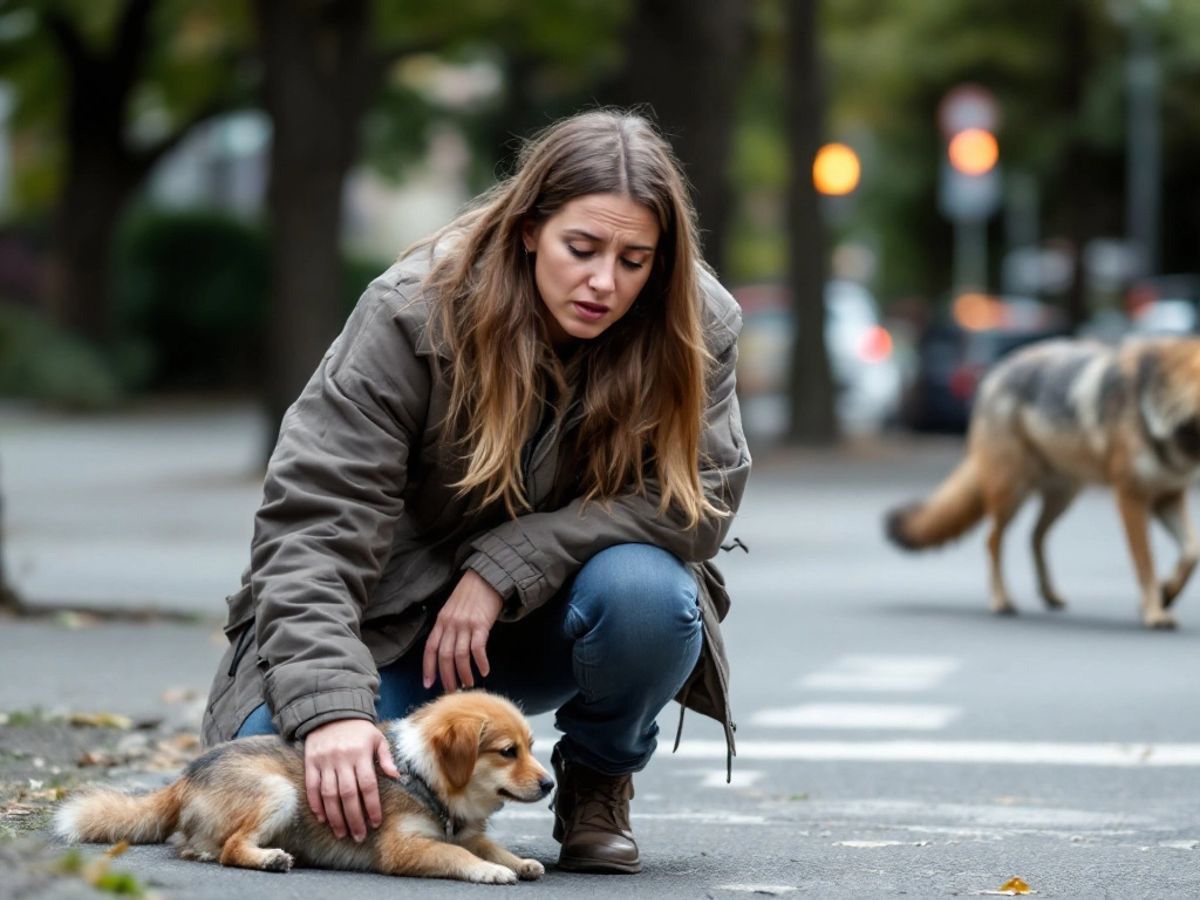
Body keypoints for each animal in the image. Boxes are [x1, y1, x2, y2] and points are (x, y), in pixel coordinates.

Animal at [54, 696, 554, 883]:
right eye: (508, 752)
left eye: (532, 747)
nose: (550, 783)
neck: (422, 774)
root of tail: (185, 776)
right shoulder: (404, 848)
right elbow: (455, 854)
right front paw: (489, 872)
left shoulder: (468, 830)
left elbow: (487, 844)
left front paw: (518, 861)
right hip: (279, 792)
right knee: (230, 848)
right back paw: (268, 858)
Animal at [888, 336, 1200, 628]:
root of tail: (995, 372)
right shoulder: (1130, 497)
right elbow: (1145, 563)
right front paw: (1155, 614)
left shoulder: (1168, 495)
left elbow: (1191, 552)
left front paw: (1167, 593)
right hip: (1012, 495)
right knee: (993, 540)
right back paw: (1001, 601)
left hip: (1063, 497)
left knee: (1034, 536)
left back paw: (1049, 594)